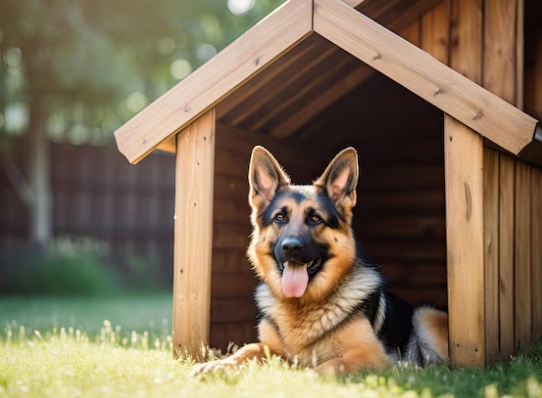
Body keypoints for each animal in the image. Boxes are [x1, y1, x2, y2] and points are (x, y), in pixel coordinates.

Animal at [193, 147, 448, 376]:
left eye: (315, 219)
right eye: (279, 217)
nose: (290, 248)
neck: (302, 305)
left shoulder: (370, 355)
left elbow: (330, 366)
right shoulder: (270, 348)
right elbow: (246, 349)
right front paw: (217, 364)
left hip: (424, 315)